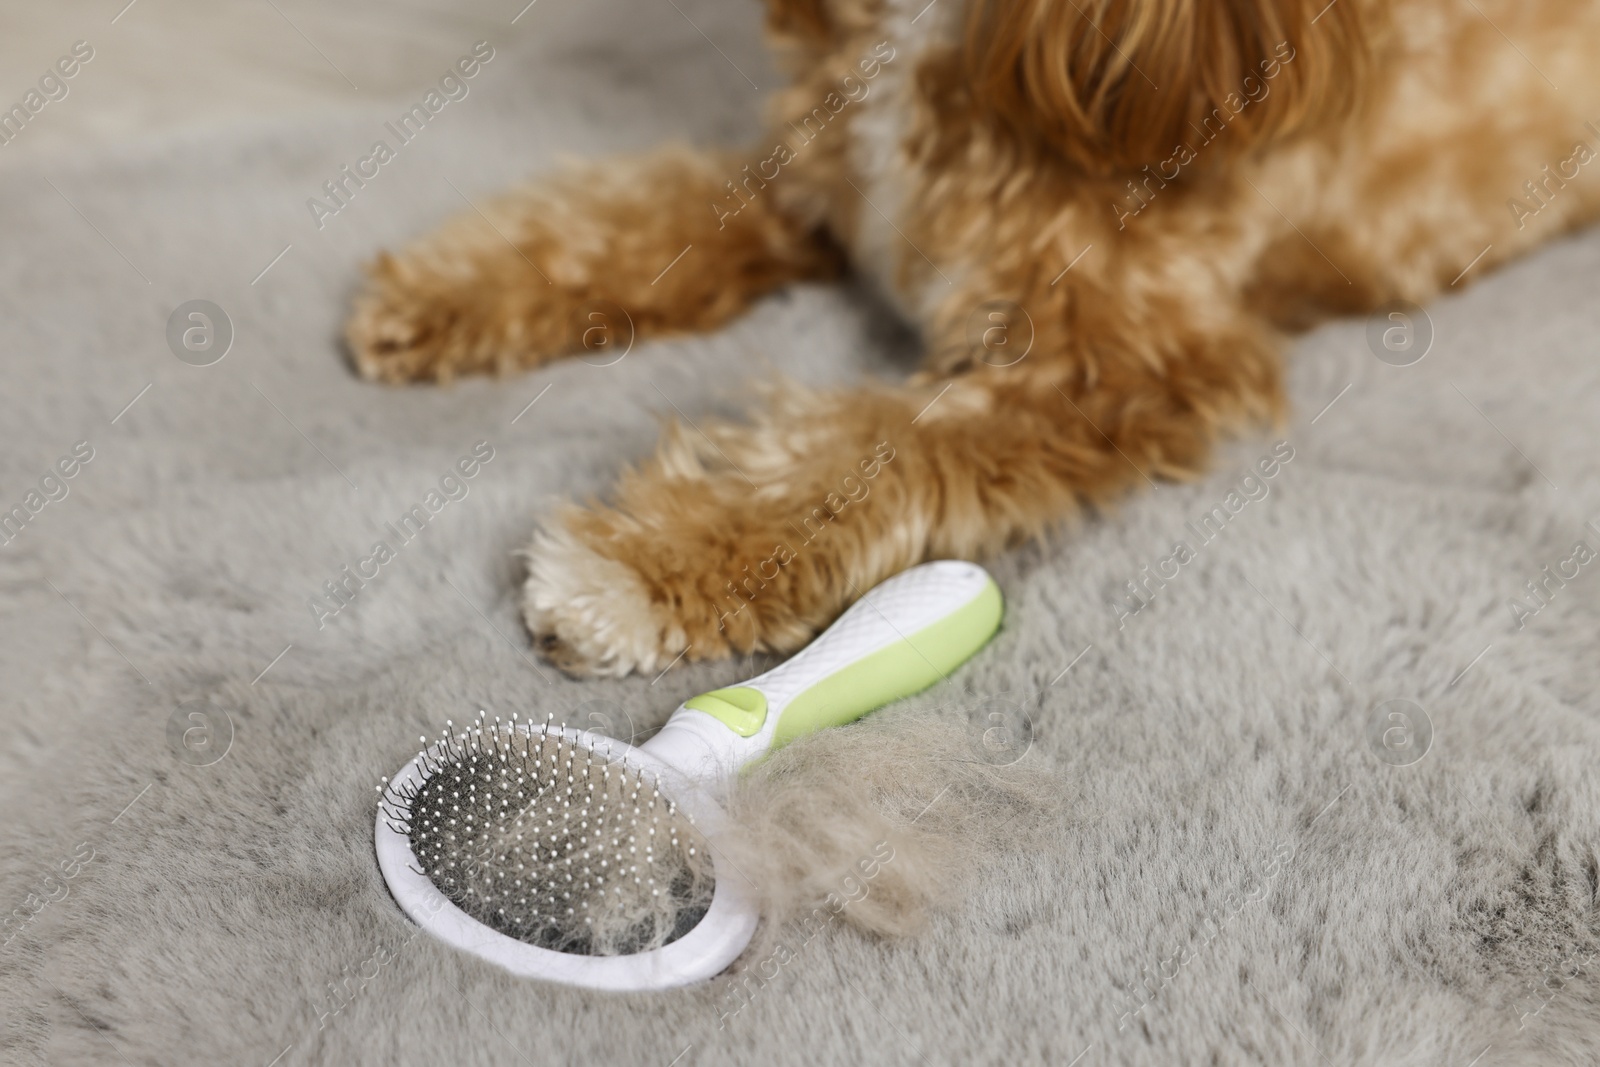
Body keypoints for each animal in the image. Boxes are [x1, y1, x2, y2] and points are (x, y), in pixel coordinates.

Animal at [340, 2, 1600, 675]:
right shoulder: (811, 189)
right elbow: (638, 214)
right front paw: (456, 285)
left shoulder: (1101, 370)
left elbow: (860, 453)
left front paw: (639, 568)